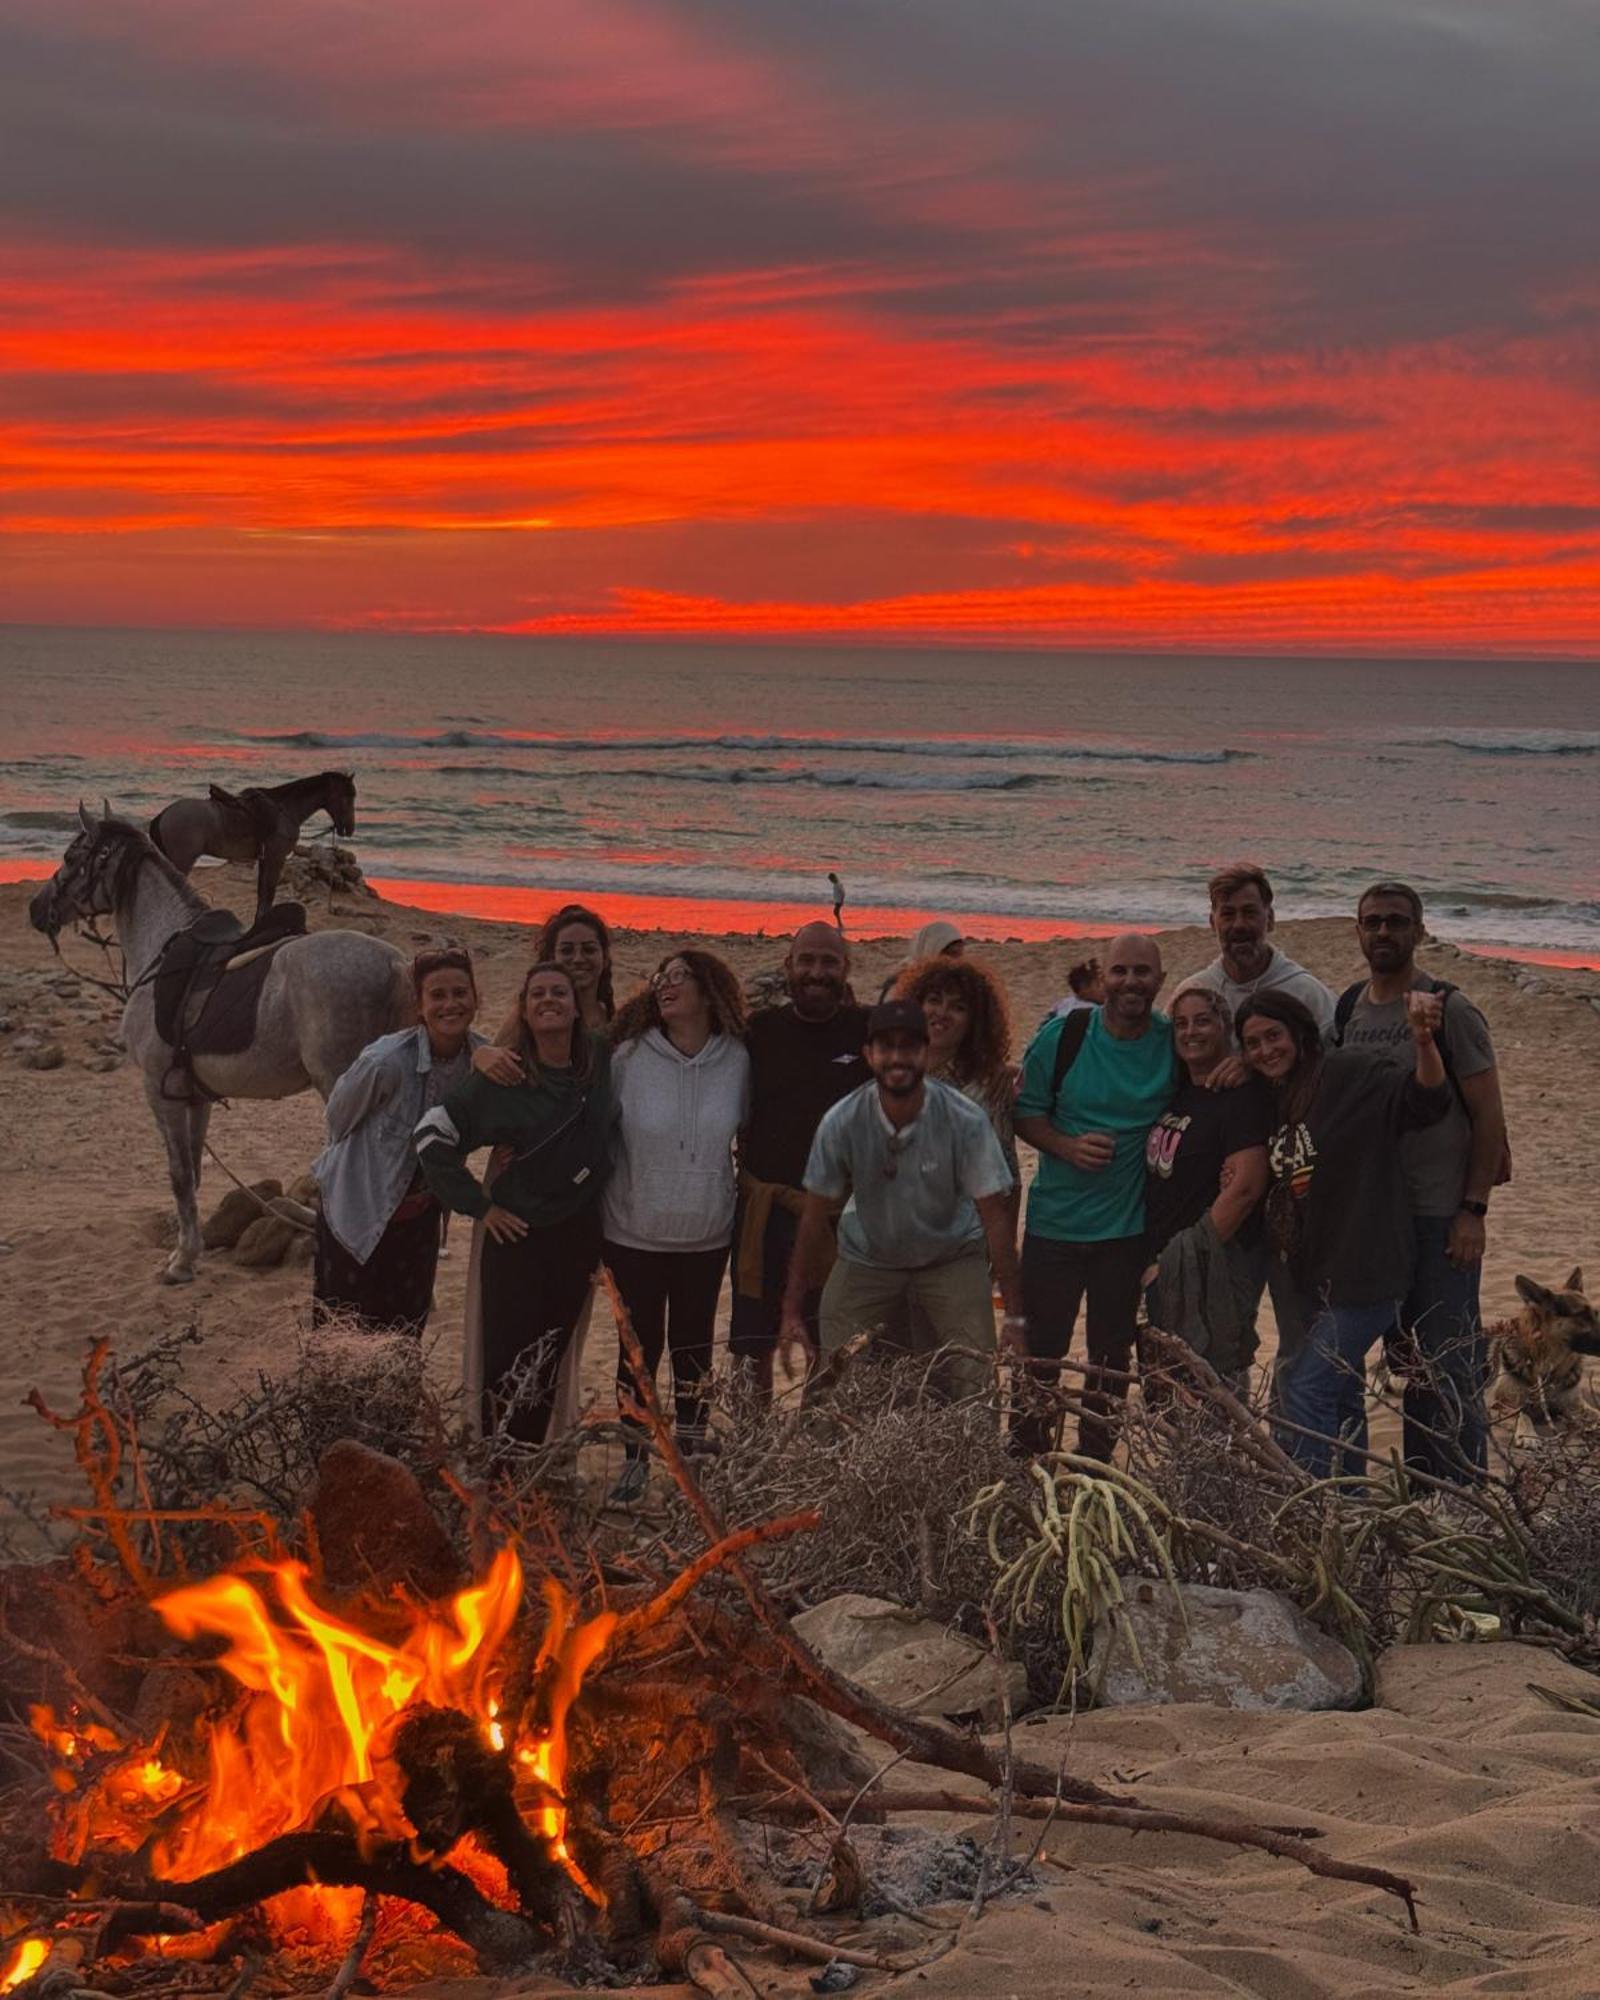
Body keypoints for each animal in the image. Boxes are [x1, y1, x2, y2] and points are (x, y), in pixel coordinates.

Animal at [29, 808, 412, 1280]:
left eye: (70, 856)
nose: (36, 908)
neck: (160, 952)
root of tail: (394, 963)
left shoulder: (160, 1090)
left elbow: (178, 1174)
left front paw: (181, 1261)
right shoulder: (196, 1095)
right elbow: (193, 1171)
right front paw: (191, 1250)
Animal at [149, 768, 356, 924]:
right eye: (346, 797)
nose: (349, 829)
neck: (285, 810)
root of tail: (164, 815)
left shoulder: (265, 860)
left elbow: (262, 895)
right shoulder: (275, 858)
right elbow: (268, 894)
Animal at [1488, 1272, 1600, 1432]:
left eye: (1596, 1314)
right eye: (1581, 1315)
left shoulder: (1575, 1405)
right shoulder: (1503, 1405)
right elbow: (1524, 1417)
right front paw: (1527, 1435)